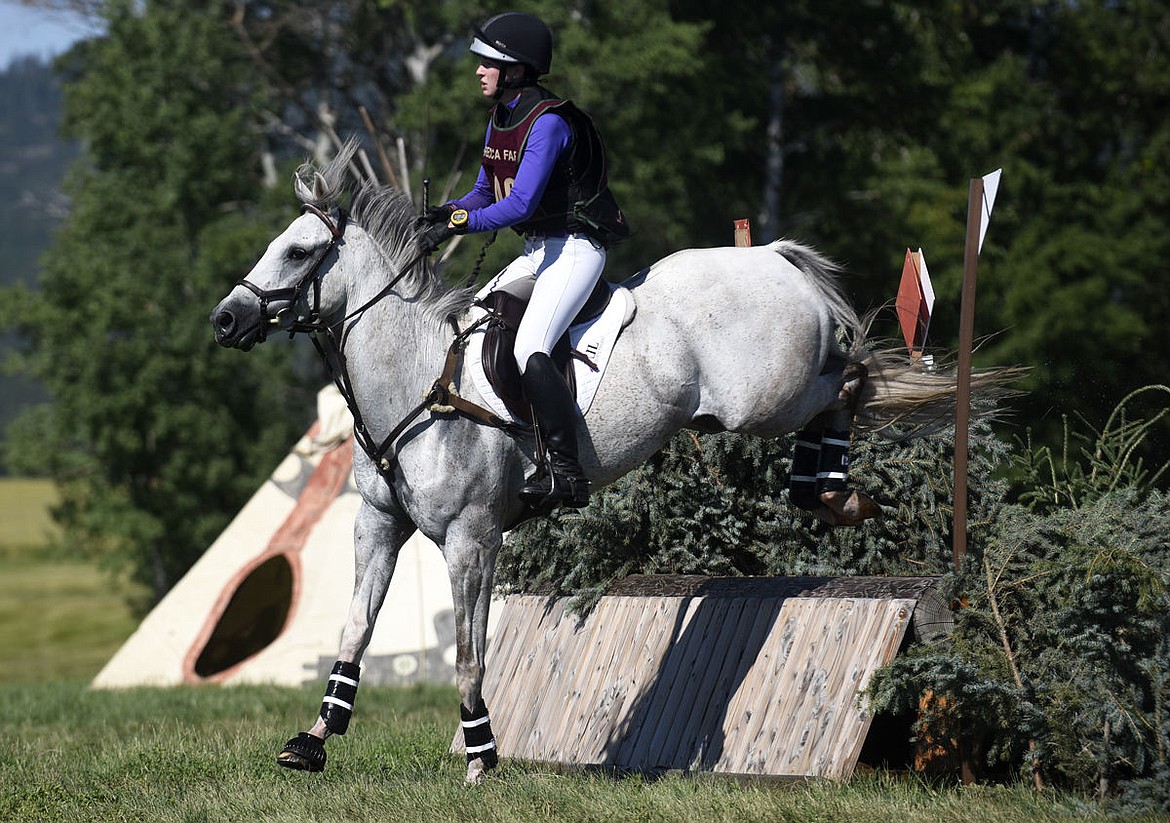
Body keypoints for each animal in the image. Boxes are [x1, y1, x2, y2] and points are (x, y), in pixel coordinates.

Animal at [208, 143, 1006, 786]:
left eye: (298, 253)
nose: (225, 319)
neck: (416, 385)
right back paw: (824, 488)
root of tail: (770, 257)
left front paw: (481, 758)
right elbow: (353, 632)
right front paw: (313, 740)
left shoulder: (472, 538)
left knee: (854, 374)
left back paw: (835, 491)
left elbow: (469, 652)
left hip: (765, 396)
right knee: (851, 379)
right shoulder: (377, 525)